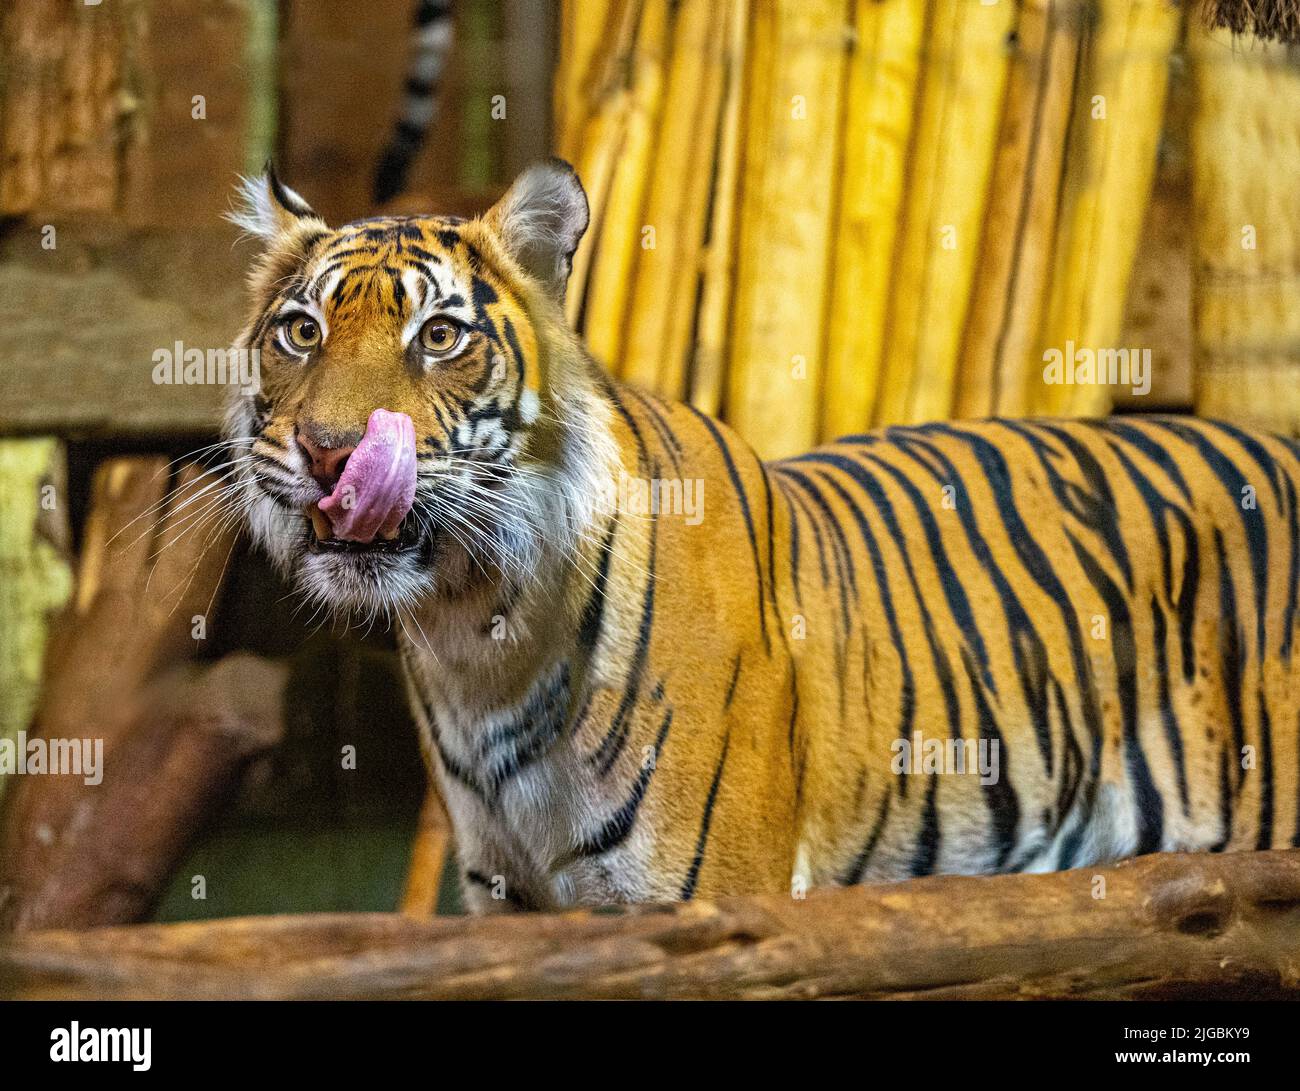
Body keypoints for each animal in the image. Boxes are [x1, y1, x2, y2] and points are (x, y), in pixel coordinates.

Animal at [226, 159, 1300, 915]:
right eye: (300, 331)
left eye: (440, 337)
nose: (330, 452)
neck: (473, 632)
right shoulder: (511, 902)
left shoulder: (707, 897)